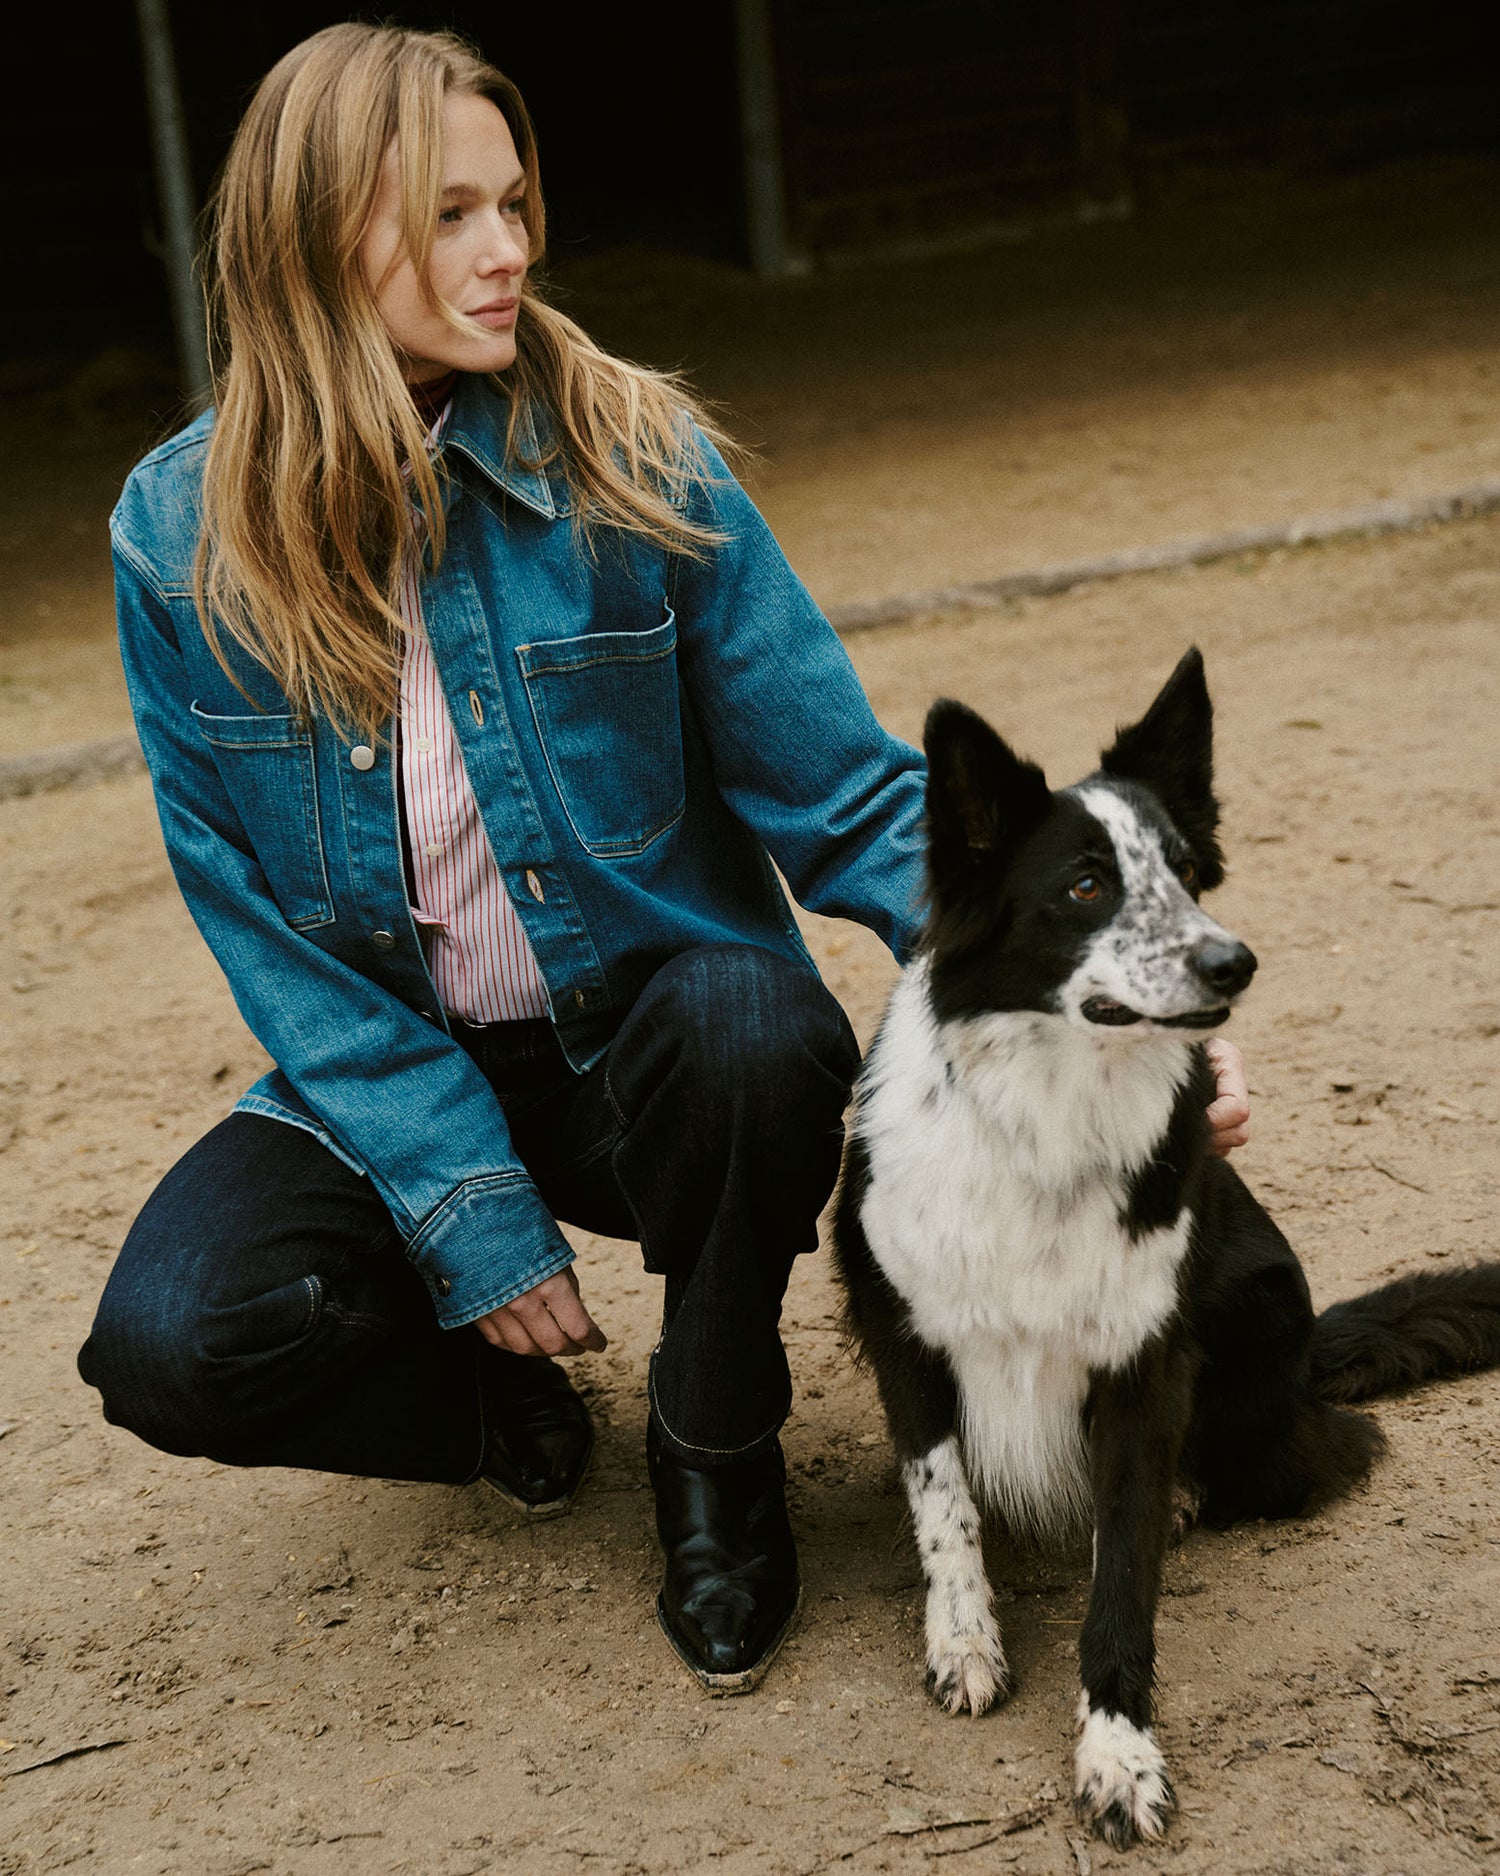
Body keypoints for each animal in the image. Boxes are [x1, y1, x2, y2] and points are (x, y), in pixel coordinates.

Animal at [832, 652, 1500, 1853]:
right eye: (1086, 885)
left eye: (1188, 873)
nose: (1234, 960)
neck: (1053, 1108)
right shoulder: (907, 1331)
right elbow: (945, 1508)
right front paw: (965, 1642)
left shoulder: (1142, 1366)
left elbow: (1123, 1576)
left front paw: (1118, 1754)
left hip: (1258, 1334)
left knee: (1323, 1452)